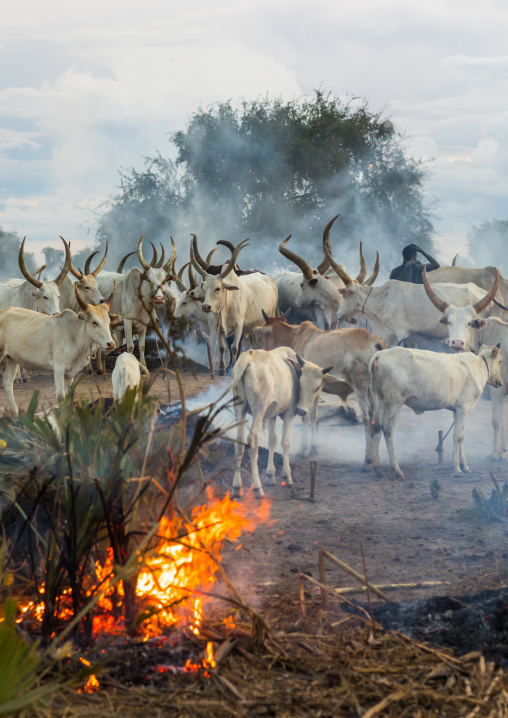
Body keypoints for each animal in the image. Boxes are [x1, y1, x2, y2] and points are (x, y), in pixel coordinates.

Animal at [0, 285, 120, 416]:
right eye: (94, 322)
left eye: (108, 322)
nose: (111, 343)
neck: (74, 334)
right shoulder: (58, 368)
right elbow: (60, 397)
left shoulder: (70, 374)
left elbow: (68, 397)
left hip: (11, 359)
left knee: (7, 383)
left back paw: (16, 415)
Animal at [190, 239, 278, 374]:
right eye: (203, 286)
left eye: (218, 288)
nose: (206, 307)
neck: (226, 304)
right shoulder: (218, 326)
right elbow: (222, 347)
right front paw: (222, 368)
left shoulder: (238, 326)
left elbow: (235, 348)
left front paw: (232, 368)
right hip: (253, 326)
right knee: (256, 343)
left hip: (270, 316)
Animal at [224, 347, 347, 498]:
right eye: (301, 383)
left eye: (317, 387)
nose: (301, 411)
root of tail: (248, 356)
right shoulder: (289, 413)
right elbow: (285, 443)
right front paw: (287, 475)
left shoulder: (272, 414)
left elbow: (272, 441)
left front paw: (270, 475)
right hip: (258, 410)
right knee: (252, 441)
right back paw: (258, 487)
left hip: (239, 409)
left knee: (239, 443)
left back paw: (236, 487)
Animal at [255, 313, 385, 466]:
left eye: (265, 334)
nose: (265, 350)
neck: (295, 336)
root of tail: (376, 342)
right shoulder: (316, 390)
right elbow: (314, 416)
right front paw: (313, 447)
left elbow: (305, 417)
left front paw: (303, 449)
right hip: (375, 393)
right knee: (377, 421)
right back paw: (377, 461)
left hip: (361, 390)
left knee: (367, 419)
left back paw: (368, 459)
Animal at [368, 344, 503, 478]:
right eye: (501, 361)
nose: (500, 382)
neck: (478, 366)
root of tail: (379, 354)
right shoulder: (463, 408)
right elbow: (458, 437)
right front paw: (457, 468)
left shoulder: (458, 410)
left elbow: (462, 435)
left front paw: (464, 466)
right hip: (394, 402)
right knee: (388, 429)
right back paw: (396, 469)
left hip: (380, 399)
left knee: (376, 426)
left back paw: (377, 468)